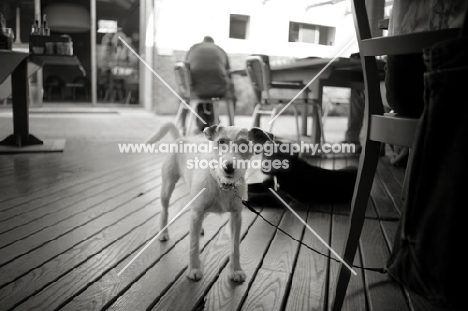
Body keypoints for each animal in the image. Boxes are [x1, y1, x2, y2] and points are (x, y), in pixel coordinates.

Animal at [144, 122, 272, 282]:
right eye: (221, 141)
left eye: (244, 145)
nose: (229, 167)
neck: (222, 184)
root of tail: (181, 138)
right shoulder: (197, 212)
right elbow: (193, 245)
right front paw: (194, 269)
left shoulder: (236, 217)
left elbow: (235, 247)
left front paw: (235, 270)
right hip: (167, 188)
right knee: (164, 211)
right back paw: (163, 232)